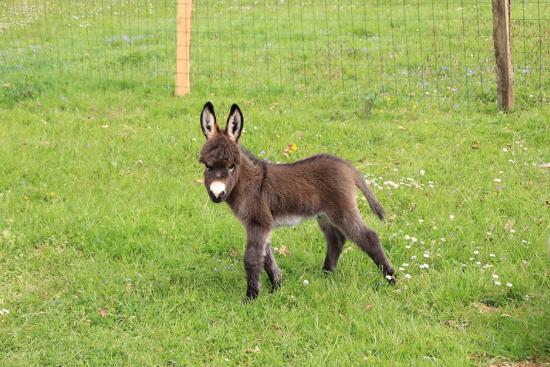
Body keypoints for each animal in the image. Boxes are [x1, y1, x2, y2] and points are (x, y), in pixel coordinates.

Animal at [199, 101, 396, 302]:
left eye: (232, 166)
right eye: (206, 166)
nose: (217, 194)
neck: (248, 183)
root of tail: (347, 167)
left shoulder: (258, 222)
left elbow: (252, 258)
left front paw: (251, 297)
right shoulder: (262, 224)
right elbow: (267, 257)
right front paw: (277, 286)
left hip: (342, 211)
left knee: (368, 237)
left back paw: (391, 279)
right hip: (324, 215)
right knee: (336, 239)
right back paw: (326, 275)